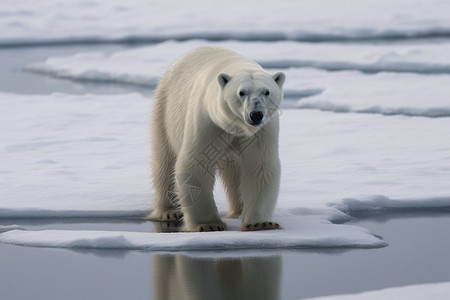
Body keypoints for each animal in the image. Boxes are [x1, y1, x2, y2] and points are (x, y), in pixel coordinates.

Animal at [150, 47, 284, 232]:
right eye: (241, 92)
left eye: (267, 91)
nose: (256, 114)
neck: (237, 127)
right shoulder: (207, 121)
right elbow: (196, 163)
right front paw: (208, 224)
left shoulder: (261, 132)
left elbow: (260, 166)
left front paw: (260, 223)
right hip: (164, 110)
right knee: (164, 160)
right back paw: (168, 212)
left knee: (235, 172)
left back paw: (238, 211)